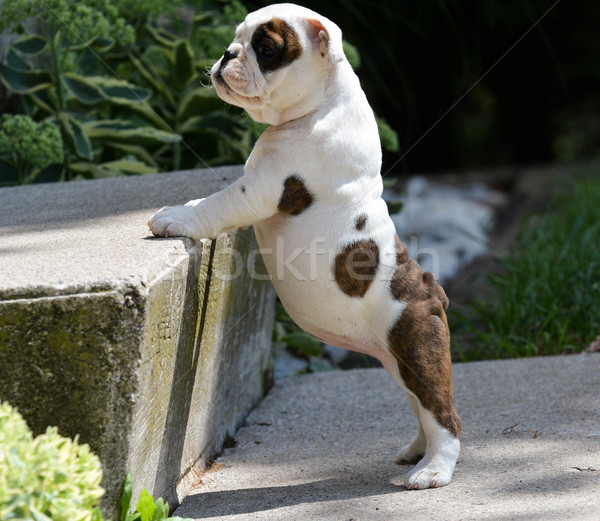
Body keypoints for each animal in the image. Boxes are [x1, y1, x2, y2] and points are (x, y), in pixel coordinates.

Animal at [149, 3, 460, 488]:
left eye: (265, 49)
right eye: (237, 37)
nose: (227, 53)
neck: (322, 102)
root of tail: (430, 290)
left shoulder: (262, 186)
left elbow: (220, 203)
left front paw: (177, 218)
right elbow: (210, 199)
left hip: (415, 348)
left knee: (443, 415)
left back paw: (433, 471)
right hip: (399, 360)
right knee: (422, 409)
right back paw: (416, 451)